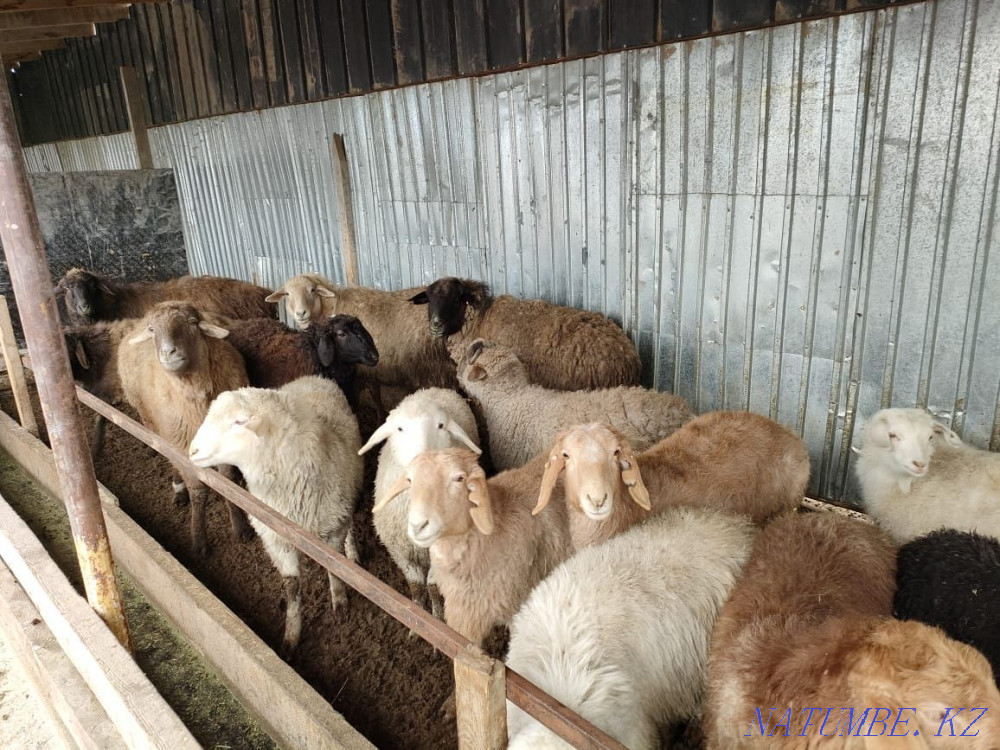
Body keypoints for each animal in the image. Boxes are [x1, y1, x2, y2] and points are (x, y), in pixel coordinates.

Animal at [117, 301, 254, 557]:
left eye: (192, 323)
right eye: (153, 330)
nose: (168, 352)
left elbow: (228, 481)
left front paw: (241, 528)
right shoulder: (180, 445)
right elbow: (198, 491)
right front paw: (199, 541)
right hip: (157, 427)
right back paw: (178, 488)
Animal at [189, 376, 363, 655]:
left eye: (239, 422)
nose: (192, 451)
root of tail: (313, 377)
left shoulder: (333, 527)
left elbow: (335, 570)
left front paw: (340, 601)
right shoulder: (276, 539)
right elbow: (292, 587)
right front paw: (291, 636)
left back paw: (353, 551)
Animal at [357, 389, 481, 617]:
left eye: (440, 425)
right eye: (399, 428)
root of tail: (432, 389)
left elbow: (433, 588)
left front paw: (436, 617)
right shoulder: (399, 551)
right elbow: (416, 585)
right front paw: (415, 612)